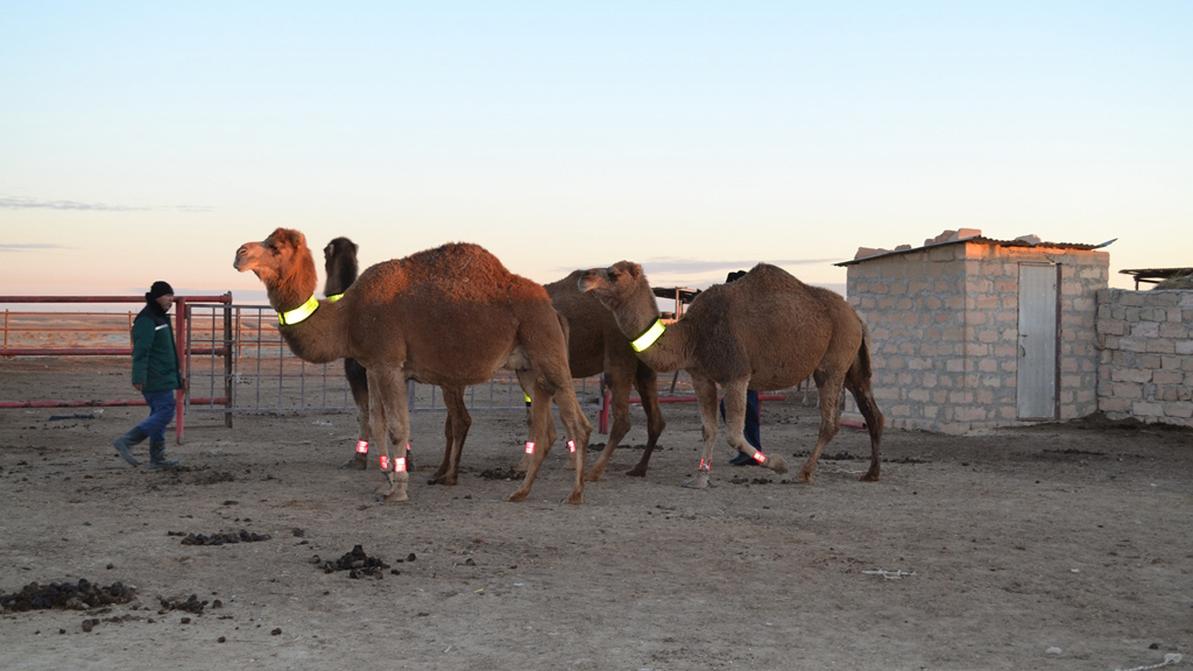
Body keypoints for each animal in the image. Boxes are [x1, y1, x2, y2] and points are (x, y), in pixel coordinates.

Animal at [232, 226, 591, 499]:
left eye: (275, 246)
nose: (239, 253)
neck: (347, 316)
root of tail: (552, 308)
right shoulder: (372, 366)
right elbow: (376, 423)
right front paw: (385, 481)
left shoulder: (389, 365)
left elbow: (396, 428)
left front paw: (399, 489)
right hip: (527, 367)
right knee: (547, 428)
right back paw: (521, 492)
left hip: (547, 348)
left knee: (576, 422)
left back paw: (574, 493)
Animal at [515, 272, 672, 479]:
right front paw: (569, 461)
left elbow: (536, 415)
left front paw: (524, 465)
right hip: (643, 362)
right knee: (656, 419)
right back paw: (638, 468)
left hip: (618, 352)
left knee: (623, 419)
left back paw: (595, 471)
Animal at [582, 259, 882, 482]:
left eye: (613, 274)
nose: (583, 277)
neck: (692, 334)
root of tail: (856, 317)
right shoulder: (700, 376)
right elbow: (709, 429)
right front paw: (701, 475)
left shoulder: (736, 374)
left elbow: (734, 435)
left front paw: (777, 463)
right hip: (852, 366)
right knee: (872, 412)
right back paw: (871, 473)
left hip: (833, 361)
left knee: (830, 421)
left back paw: (805, 472)